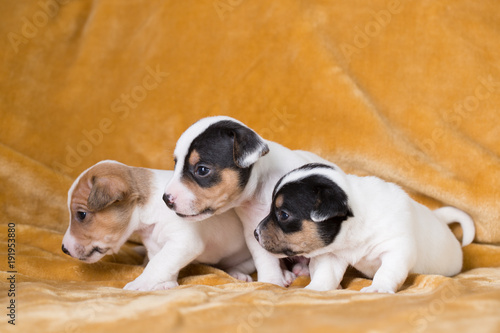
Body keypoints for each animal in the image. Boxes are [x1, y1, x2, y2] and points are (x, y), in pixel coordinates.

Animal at [61, 160, 254, 290]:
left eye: (81, 214)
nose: (64, 249)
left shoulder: (183, 242)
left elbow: (158, 264)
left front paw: (140, 283)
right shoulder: (155, 245)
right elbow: (161, 262)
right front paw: (165, 283)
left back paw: (237, 273)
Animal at [164, 116, 336, 286]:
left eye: (202, 170)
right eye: (176, 164)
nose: (166, 199)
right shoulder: (257, 230)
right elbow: (266, 260)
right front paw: (271, 282)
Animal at [254, 162, 476, 292]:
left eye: (283, 215)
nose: (255, 233)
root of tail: (439, 218)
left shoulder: (396, 249)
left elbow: (386, 271)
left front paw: (378, 288)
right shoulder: (332, 255)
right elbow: (326, 274)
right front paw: (315, 289)